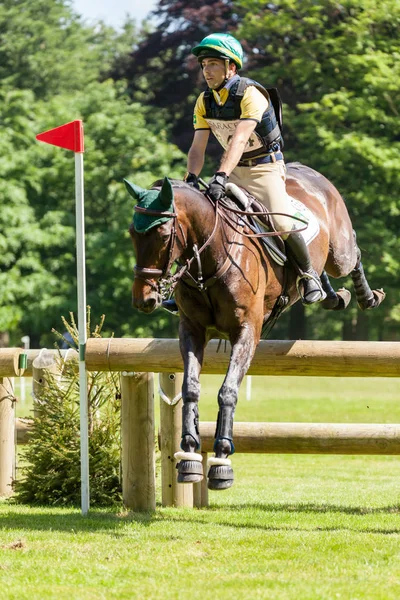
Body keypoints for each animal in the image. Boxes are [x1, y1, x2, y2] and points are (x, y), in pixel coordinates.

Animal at [126, 162, 386, 490]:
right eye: (132, 234)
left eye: (162, 234)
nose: (143, 299)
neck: (211, 256)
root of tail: (306, 170)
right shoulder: (192, 330)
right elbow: (190, 388)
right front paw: (189, 455)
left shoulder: (247, 331)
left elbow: (227, 391)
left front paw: (222, 459)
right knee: (322, 275)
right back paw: (327, 293)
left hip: (338, 251)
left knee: (352, 254)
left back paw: (366, 296)